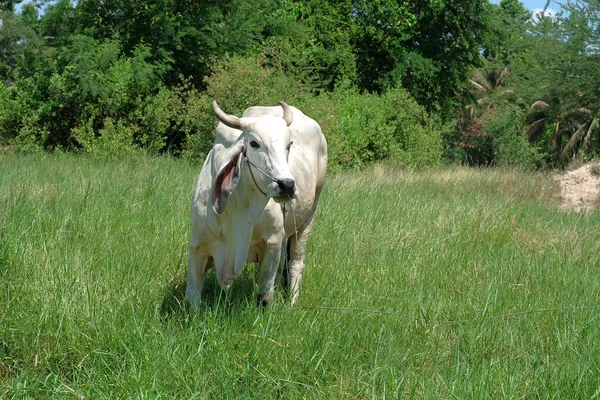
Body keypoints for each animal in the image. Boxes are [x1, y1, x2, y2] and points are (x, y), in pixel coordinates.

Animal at [188, 101, 328, 306]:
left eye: (289, 145)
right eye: (254, 143)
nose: (287, 185)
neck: (238, 209)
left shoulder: (272, 243)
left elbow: (264, 297)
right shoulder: (198, 246)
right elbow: (192, 299)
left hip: (307, 219)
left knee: (295, 263)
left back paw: (292, 302)